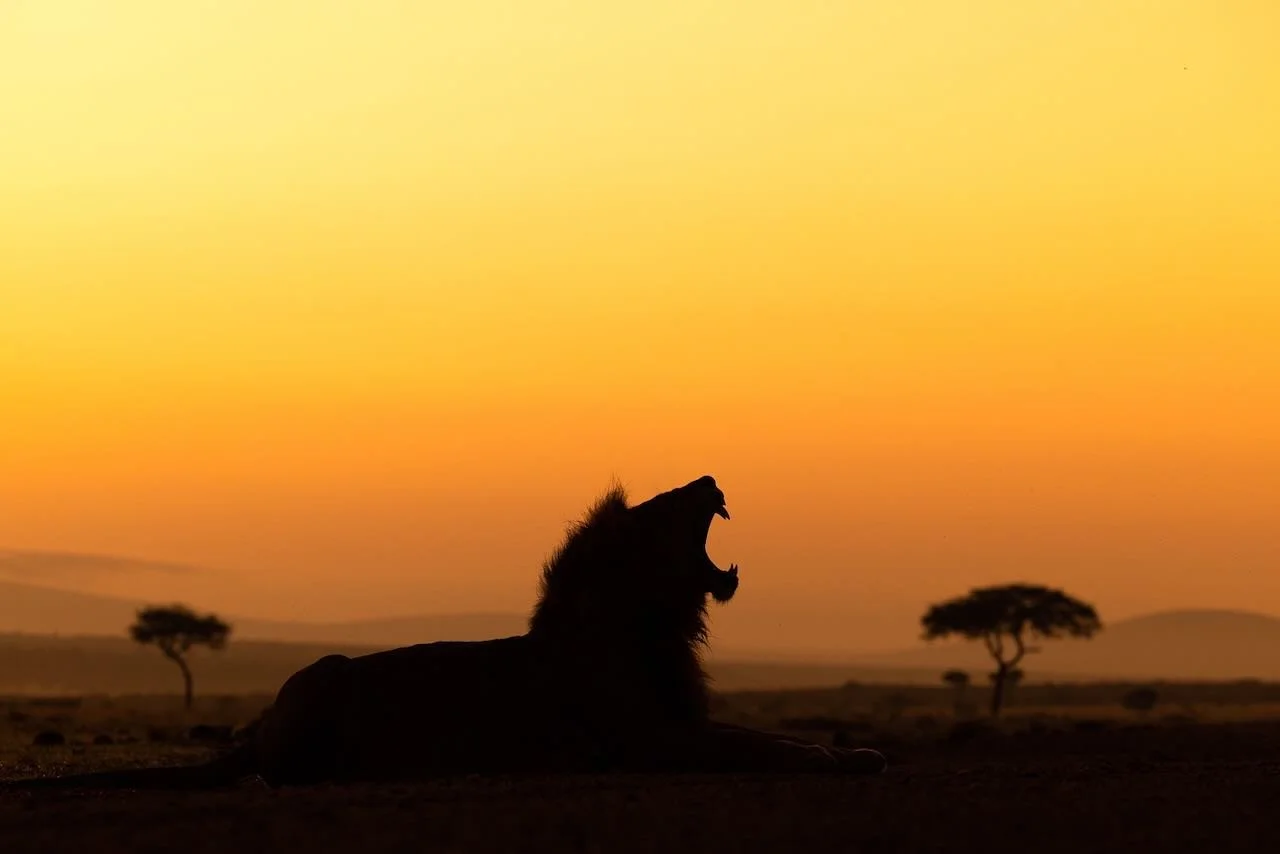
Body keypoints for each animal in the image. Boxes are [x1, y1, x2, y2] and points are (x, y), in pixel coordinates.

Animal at [1, 475, 885, 789]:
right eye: (660, 506)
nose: (709, 480)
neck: (656, 627)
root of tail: (260, 732)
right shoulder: (646, 740)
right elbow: (757, 745)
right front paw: (828, 757)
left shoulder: (674, 722)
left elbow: (761, 734)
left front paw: (855, 751)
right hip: (322, 675)